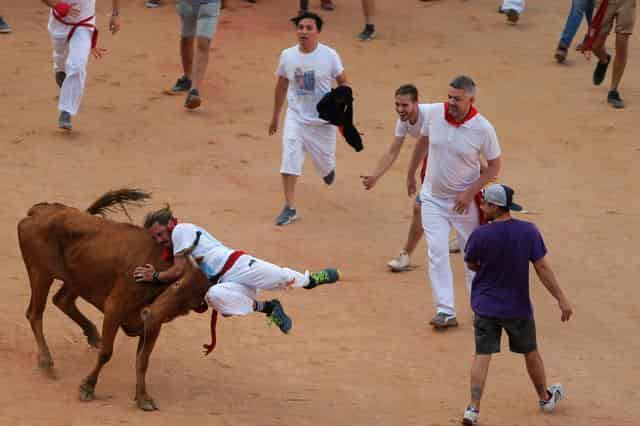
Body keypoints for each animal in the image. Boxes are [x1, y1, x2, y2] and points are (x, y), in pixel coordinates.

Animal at [16, 189, 210, 410]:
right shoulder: (114, 309)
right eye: (177, 285)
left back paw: (92, 336)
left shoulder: (152, 326)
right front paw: (87, 388)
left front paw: (143, 397)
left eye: (190, 305)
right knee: (35, 313)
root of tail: (38, 210)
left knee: (61, 300)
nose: (150, 314)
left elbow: (142, 361)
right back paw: (47, 363)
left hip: (76, 278)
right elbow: (107, 353)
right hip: (40, 273)